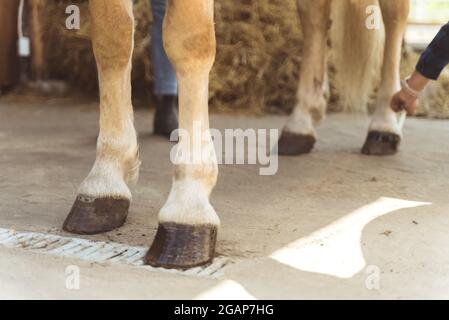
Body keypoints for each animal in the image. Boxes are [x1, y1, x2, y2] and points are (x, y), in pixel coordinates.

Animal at [63, 0, 410, 270]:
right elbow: (112, 37)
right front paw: (105, 181)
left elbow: (186, 40)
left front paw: (188, 206)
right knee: (314, 17)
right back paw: (301, 123)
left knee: (395, 14)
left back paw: (385, 123)